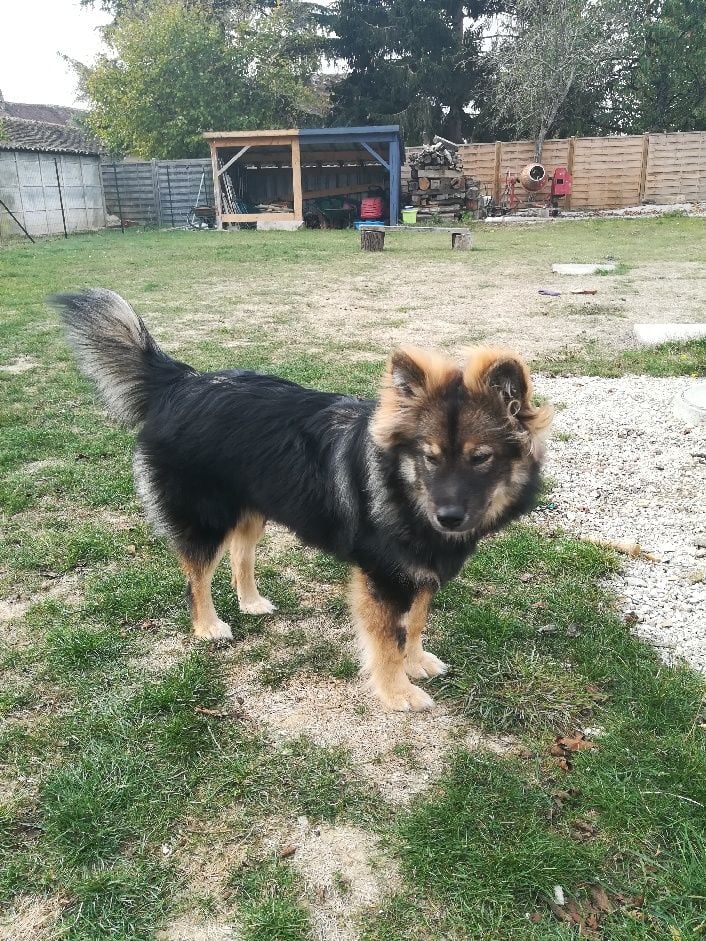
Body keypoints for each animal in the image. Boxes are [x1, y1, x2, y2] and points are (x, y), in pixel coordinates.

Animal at [52, 289, 551, 711]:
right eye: (429, 456)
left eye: (481, 458)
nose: (448, 518)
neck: (402, 489)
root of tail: (182, 382)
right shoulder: (381, 576)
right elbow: (387, 640)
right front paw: (398, 691)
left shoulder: (420, 570)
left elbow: (415, 623)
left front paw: (416, 661)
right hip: (206, 517)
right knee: (197, 576)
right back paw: (209, 627)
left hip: (252, 507)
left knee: (241, 555)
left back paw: (251, 602)